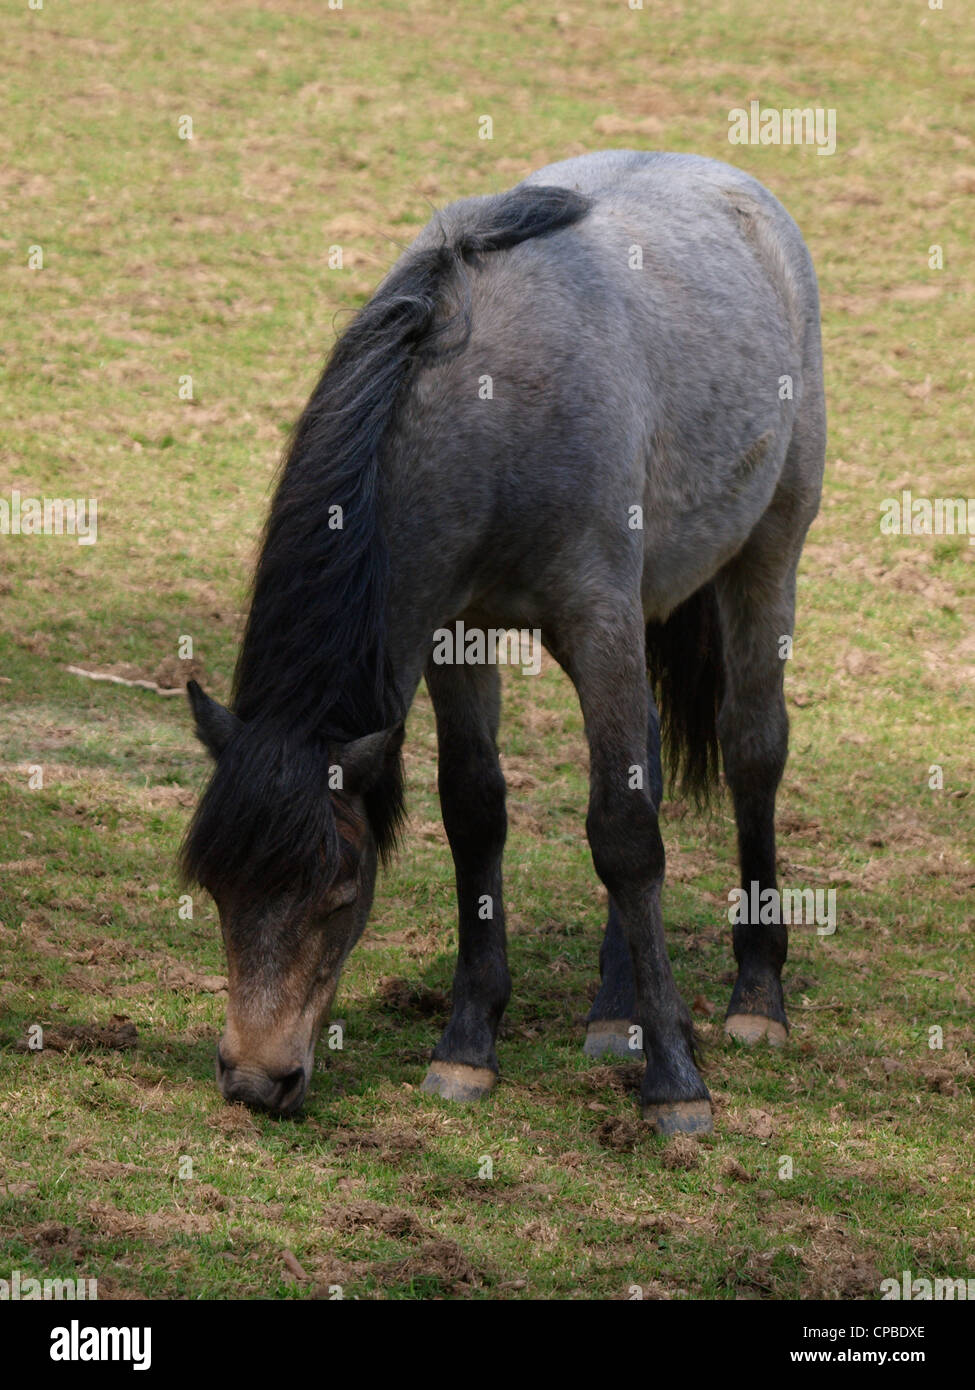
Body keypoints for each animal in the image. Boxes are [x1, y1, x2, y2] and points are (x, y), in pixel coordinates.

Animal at [180, 152, 823, 1134]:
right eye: (217, 889)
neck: (492, 408)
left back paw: (754, 999)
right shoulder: (457, 632)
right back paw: (615, 1012)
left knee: (752, 748)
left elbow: (624, 836)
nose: (256, 1079)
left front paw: (676, 1084)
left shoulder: (596, 620)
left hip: (767, 551)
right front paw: (467, 1045)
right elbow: (475, 813)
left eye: (338, 894)